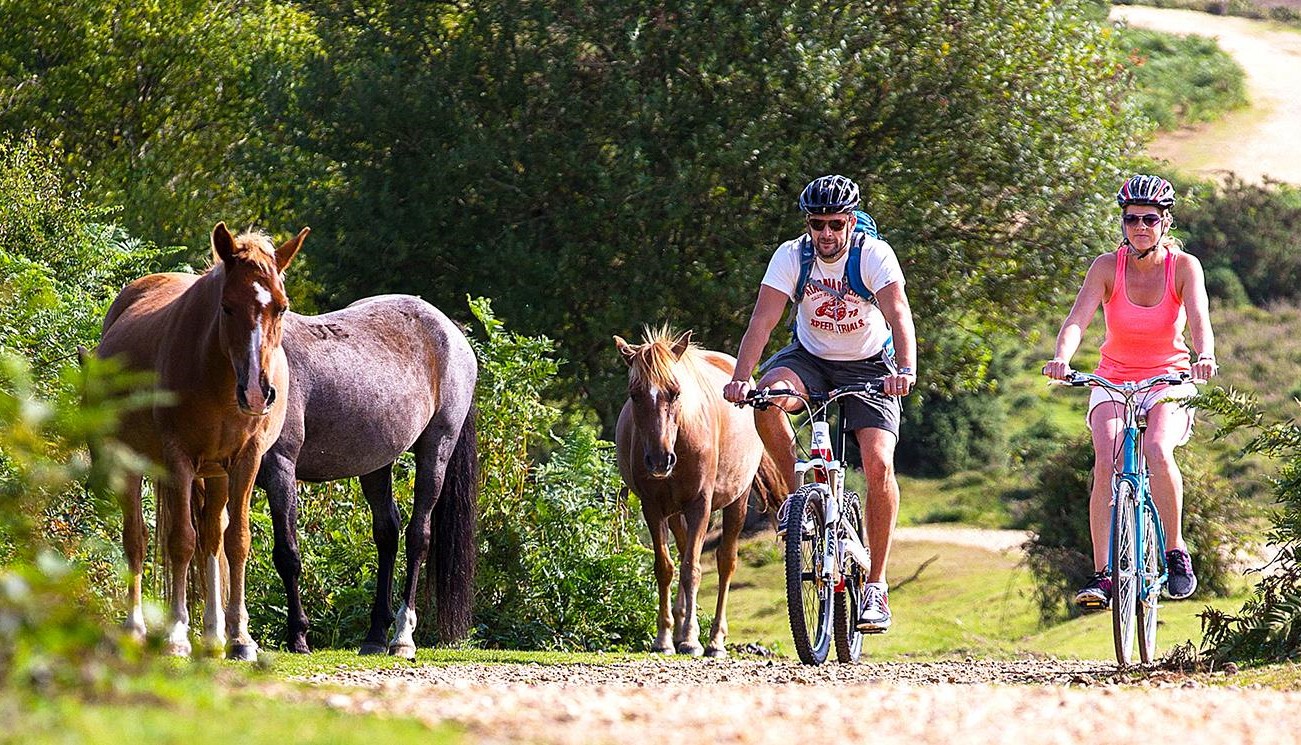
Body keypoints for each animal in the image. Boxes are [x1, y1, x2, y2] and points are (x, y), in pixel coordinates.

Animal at [95, 221, 307, 655]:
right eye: (227, 306)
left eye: (281, 306)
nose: (257, 393)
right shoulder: (178, 459)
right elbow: (180, 541)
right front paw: (177, 633)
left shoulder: (245, 461)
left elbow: (235, 541)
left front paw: (240, 636)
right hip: (132, 461)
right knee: (137, 539)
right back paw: (136, 628)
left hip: (216, 474)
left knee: (213, 536)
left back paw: (213, 632)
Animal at [253, 296, 478, 655]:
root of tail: (449, 329)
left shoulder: (280, 469)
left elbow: (286, 555)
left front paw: (298, 637)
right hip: (376, 465)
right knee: (388, 532)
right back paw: (375, 635)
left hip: (437, 449)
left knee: (418, 536)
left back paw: (402, 636)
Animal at [611, 327, 780, 652]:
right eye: (634, 394)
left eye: (675, 391)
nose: (659, 460)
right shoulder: (653, 507)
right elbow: (665, 567)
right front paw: (664, 637)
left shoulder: (700, 505)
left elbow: (692, 568)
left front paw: (690, 637)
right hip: (676, 513)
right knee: (682, 551)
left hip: (736, 502)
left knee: (725, 562)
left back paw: (715, 639)